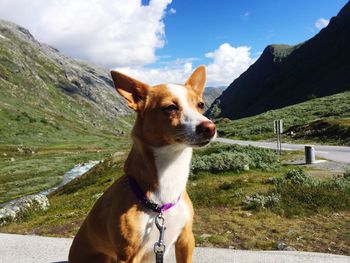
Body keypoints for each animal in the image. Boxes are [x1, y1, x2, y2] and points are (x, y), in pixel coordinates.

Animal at [68, 66, 216, 263]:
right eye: (170, 107)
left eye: (200, 105)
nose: (210, 128)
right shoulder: (129, 255)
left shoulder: (186, 239)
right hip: (105, 258)